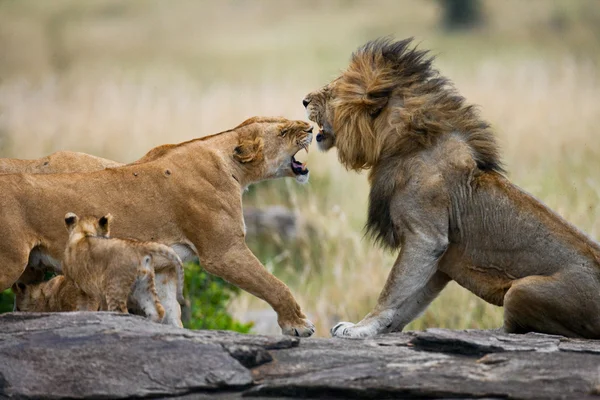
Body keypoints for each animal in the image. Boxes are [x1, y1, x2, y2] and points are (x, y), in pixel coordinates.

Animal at [0, 117, 316, 336]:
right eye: (283, 132)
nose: (311, 127)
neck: (231, 165)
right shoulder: (224, 252)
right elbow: (274, 285)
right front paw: (298, 325)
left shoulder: (164, 267)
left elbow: (169, 313)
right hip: (10, 261)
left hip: (30, 271)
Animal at [304, 37, 600, 340]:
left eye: (332, 92)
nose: (304, 100)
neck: (399, 146)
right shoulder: (440, 260)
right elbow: (410, 301)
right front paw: (385, 328)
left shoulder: (426, 238)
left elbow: (392, 291)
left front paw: (361, 328)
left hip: (521, 290)